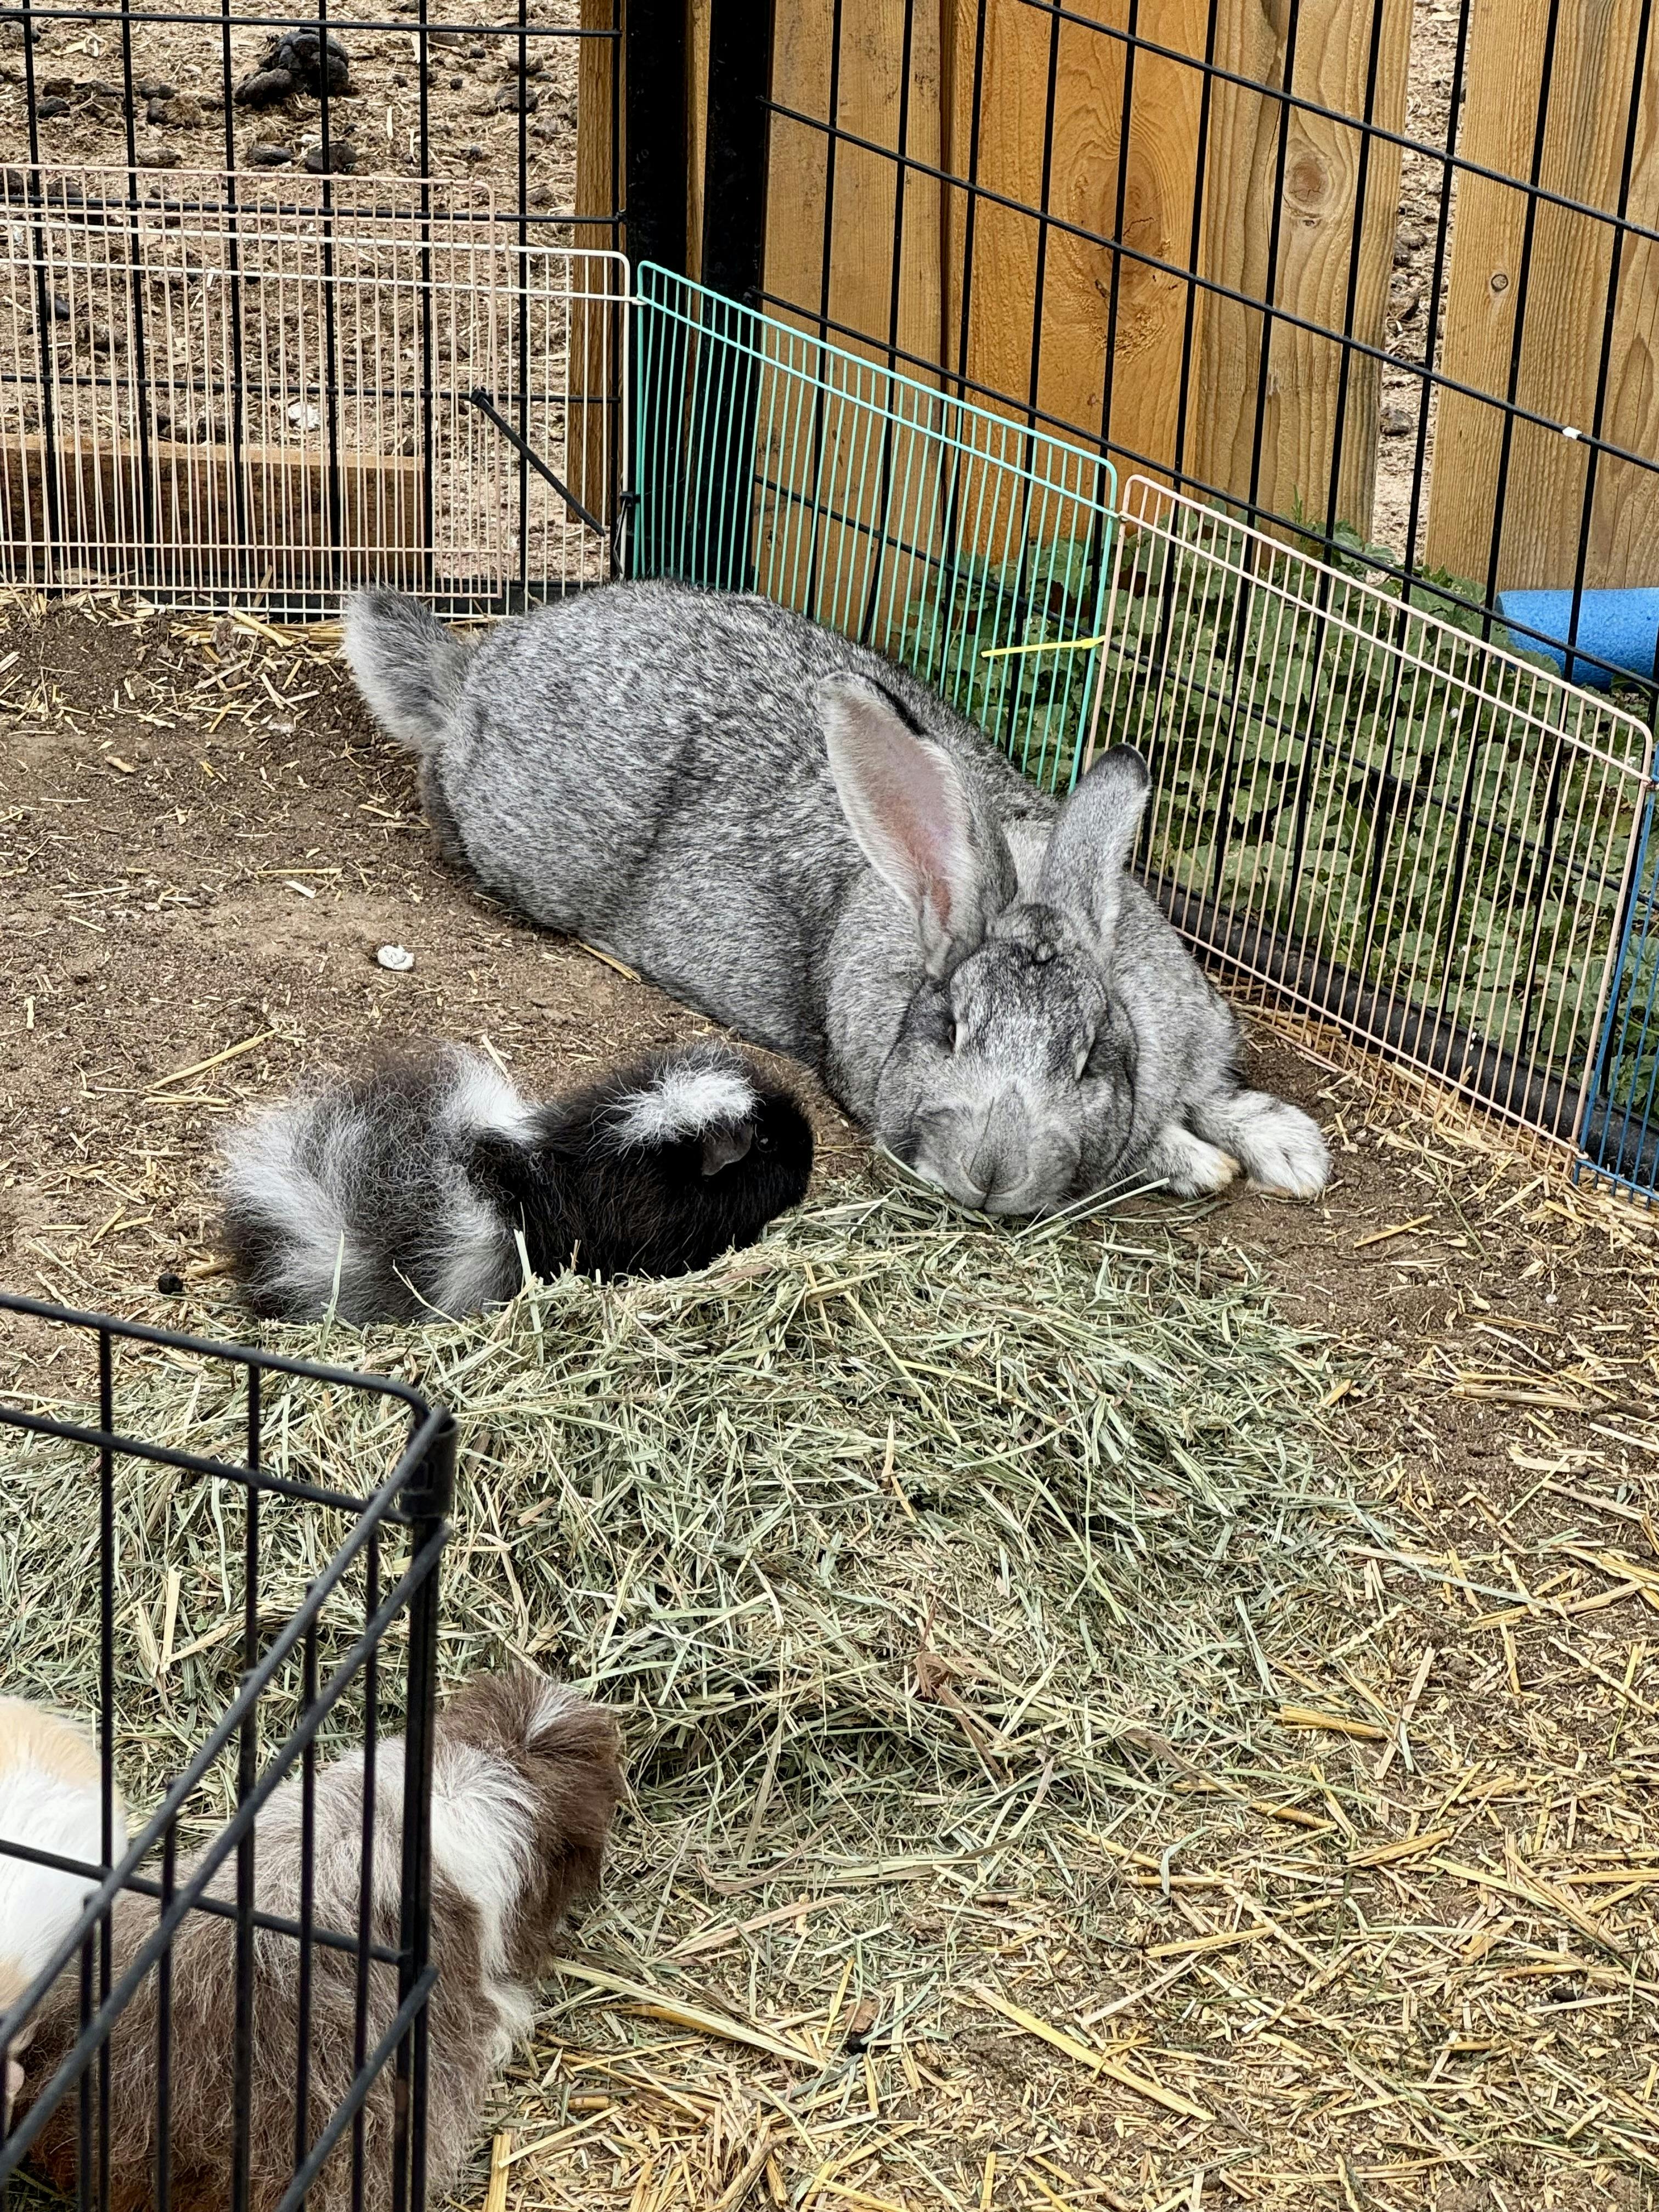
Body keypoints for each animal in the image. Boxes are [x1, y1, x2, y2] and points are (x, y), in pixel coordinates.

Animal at [343, 581, 1329, 1215]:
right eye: (947, 1031)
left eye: (1089, 1059)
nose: (990, 1174)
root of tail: (469, 679)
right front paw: (1202, 1162)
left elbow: (1207, 1093)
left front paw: (1288, 1151)